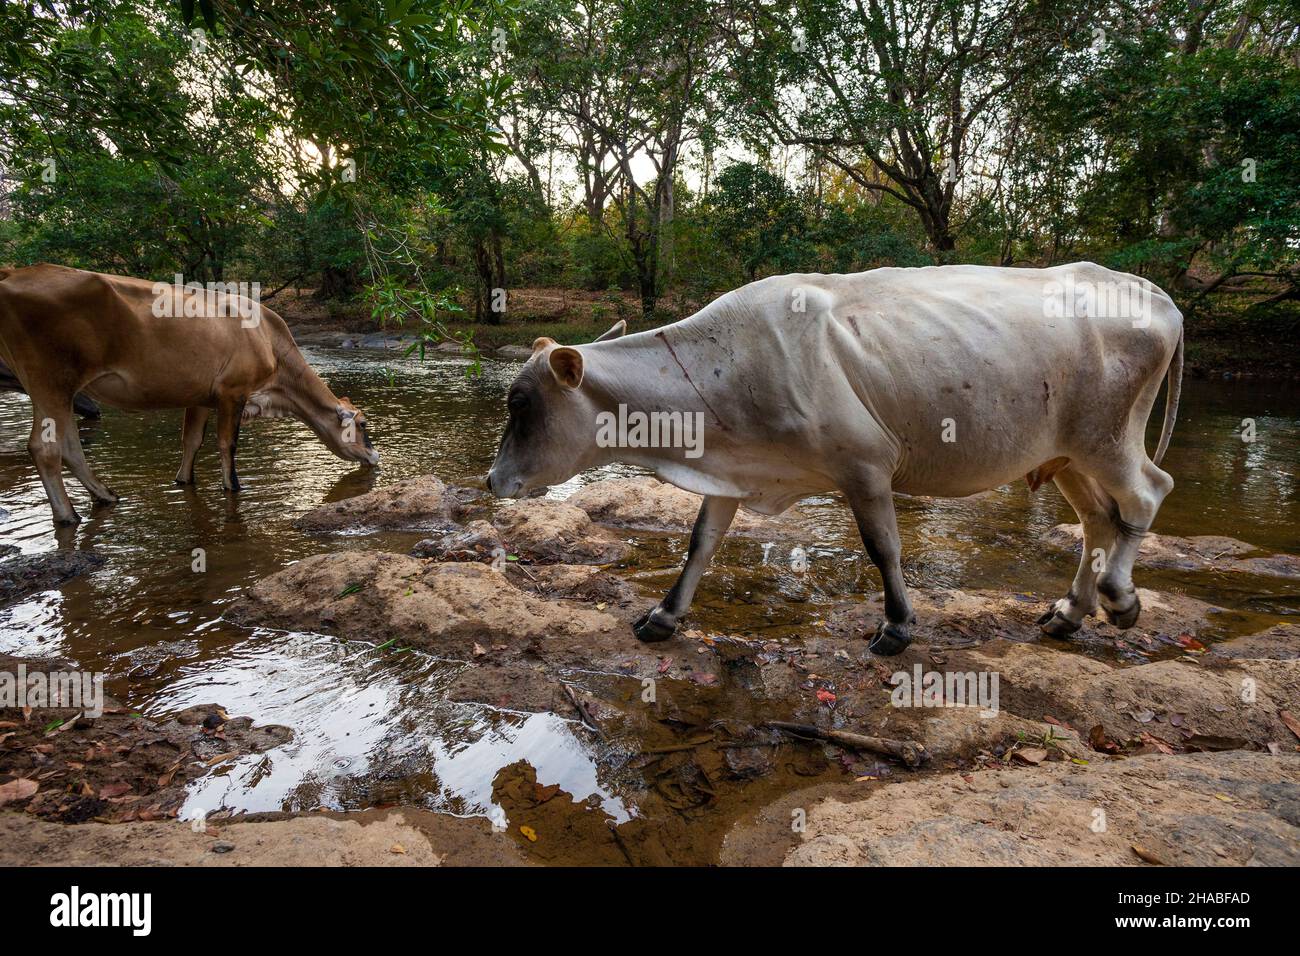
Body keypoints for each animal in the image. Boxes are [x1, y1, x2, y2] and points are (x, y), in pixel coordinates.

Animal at [0, 265, 379, 528]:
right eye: (362, 424)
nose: (376, 457)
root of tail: (16, 272)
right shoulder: (233, 392)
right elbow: (227, 443)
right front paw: (233, 487)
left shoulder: (199, 397)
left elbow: (191, 441)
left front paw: (184, 480)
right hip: (51, 380)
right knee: (45, 448)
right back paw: (67, 516)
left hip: (56, 389)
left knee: (69, 445)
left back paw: (105, 495)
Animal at [486, 264, 1180, 658]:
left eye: (520, 403)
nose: (493, 480)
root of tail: (1145, 289)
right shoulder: (732, 470)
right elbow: (701, 544)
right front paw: (664, 616)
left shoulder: (865, 466)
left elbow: (884, 549)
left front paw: (897, 629)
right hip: (1065, 454)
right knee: (1098, 520)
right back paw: (1069, 613)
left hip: (1106, 437)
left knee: (1147, 493)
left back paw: (1119, 598)